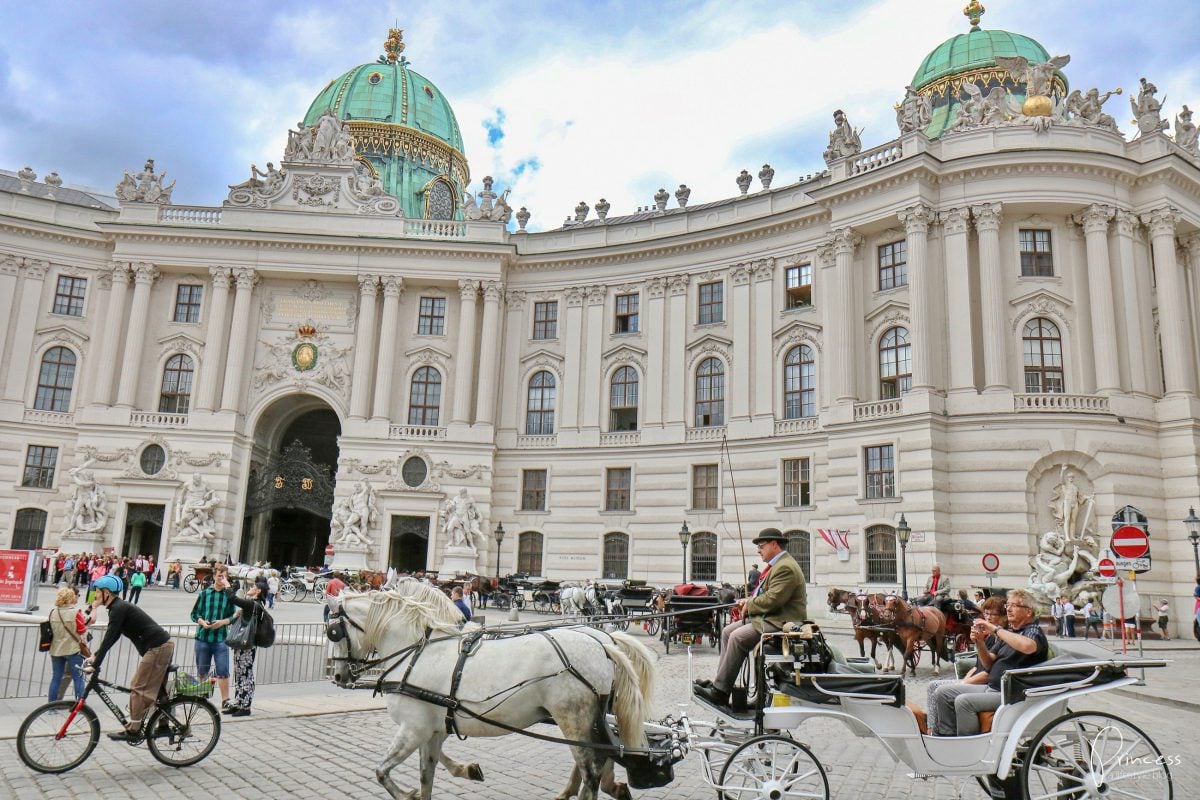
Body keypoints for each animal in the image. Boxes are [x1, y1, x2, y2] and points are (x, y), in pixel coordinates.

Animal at [328, 582, 657, 800]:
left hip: (574, 718)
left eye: (333, 631)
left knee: (591, 770)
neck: (416, 652)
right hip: (589, 720)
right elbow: (426, 777)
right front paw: (462, 771)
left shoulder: (413, 728)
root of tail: (603, 643)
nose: (338, 675)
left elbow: (382, 772)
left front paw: (408, 793)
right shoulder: (432, 730)